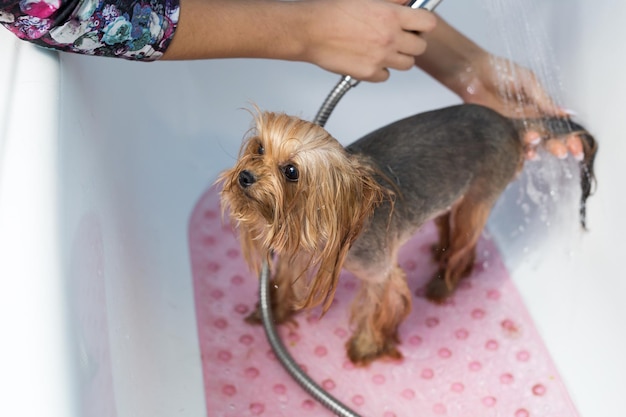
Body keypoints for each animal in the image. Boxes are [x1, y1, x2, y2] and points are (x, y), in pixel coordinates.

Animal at [219, 104, 596, 364]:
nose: (245, 177)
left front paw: (366, 347)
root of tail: (510, 122)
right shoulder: (296, 251)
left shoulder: (380, 274)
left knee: (466, 244)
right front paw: (271, 313)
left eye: (291, 171)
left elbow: (379, 308)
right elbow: (283, 283)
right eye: (259, 148)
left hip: (480, 196)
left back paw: (443, 284)